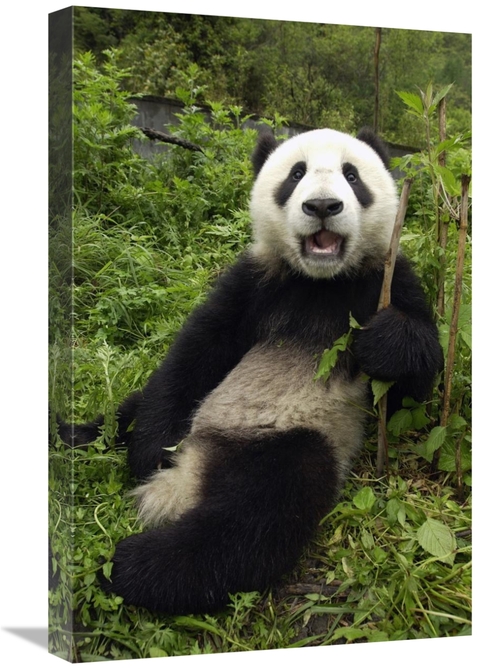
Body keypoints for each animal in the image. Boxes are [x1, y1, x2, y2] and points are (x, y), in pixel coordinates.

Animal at [63, 127, 443, 615]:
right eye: (296, 174)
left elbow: (410, 395)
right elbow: (197, 350)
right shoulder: (255, 281)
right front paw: (149, 451)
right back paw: (74, 435)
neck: (320, 281)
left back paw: (130, 565)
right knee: (133, 407)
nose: (323, 206)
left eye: (352, 175)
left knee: (253, 522)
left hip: (291, 443)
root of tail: (189, 476)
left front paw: (383, 342)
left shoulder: (387, 280)